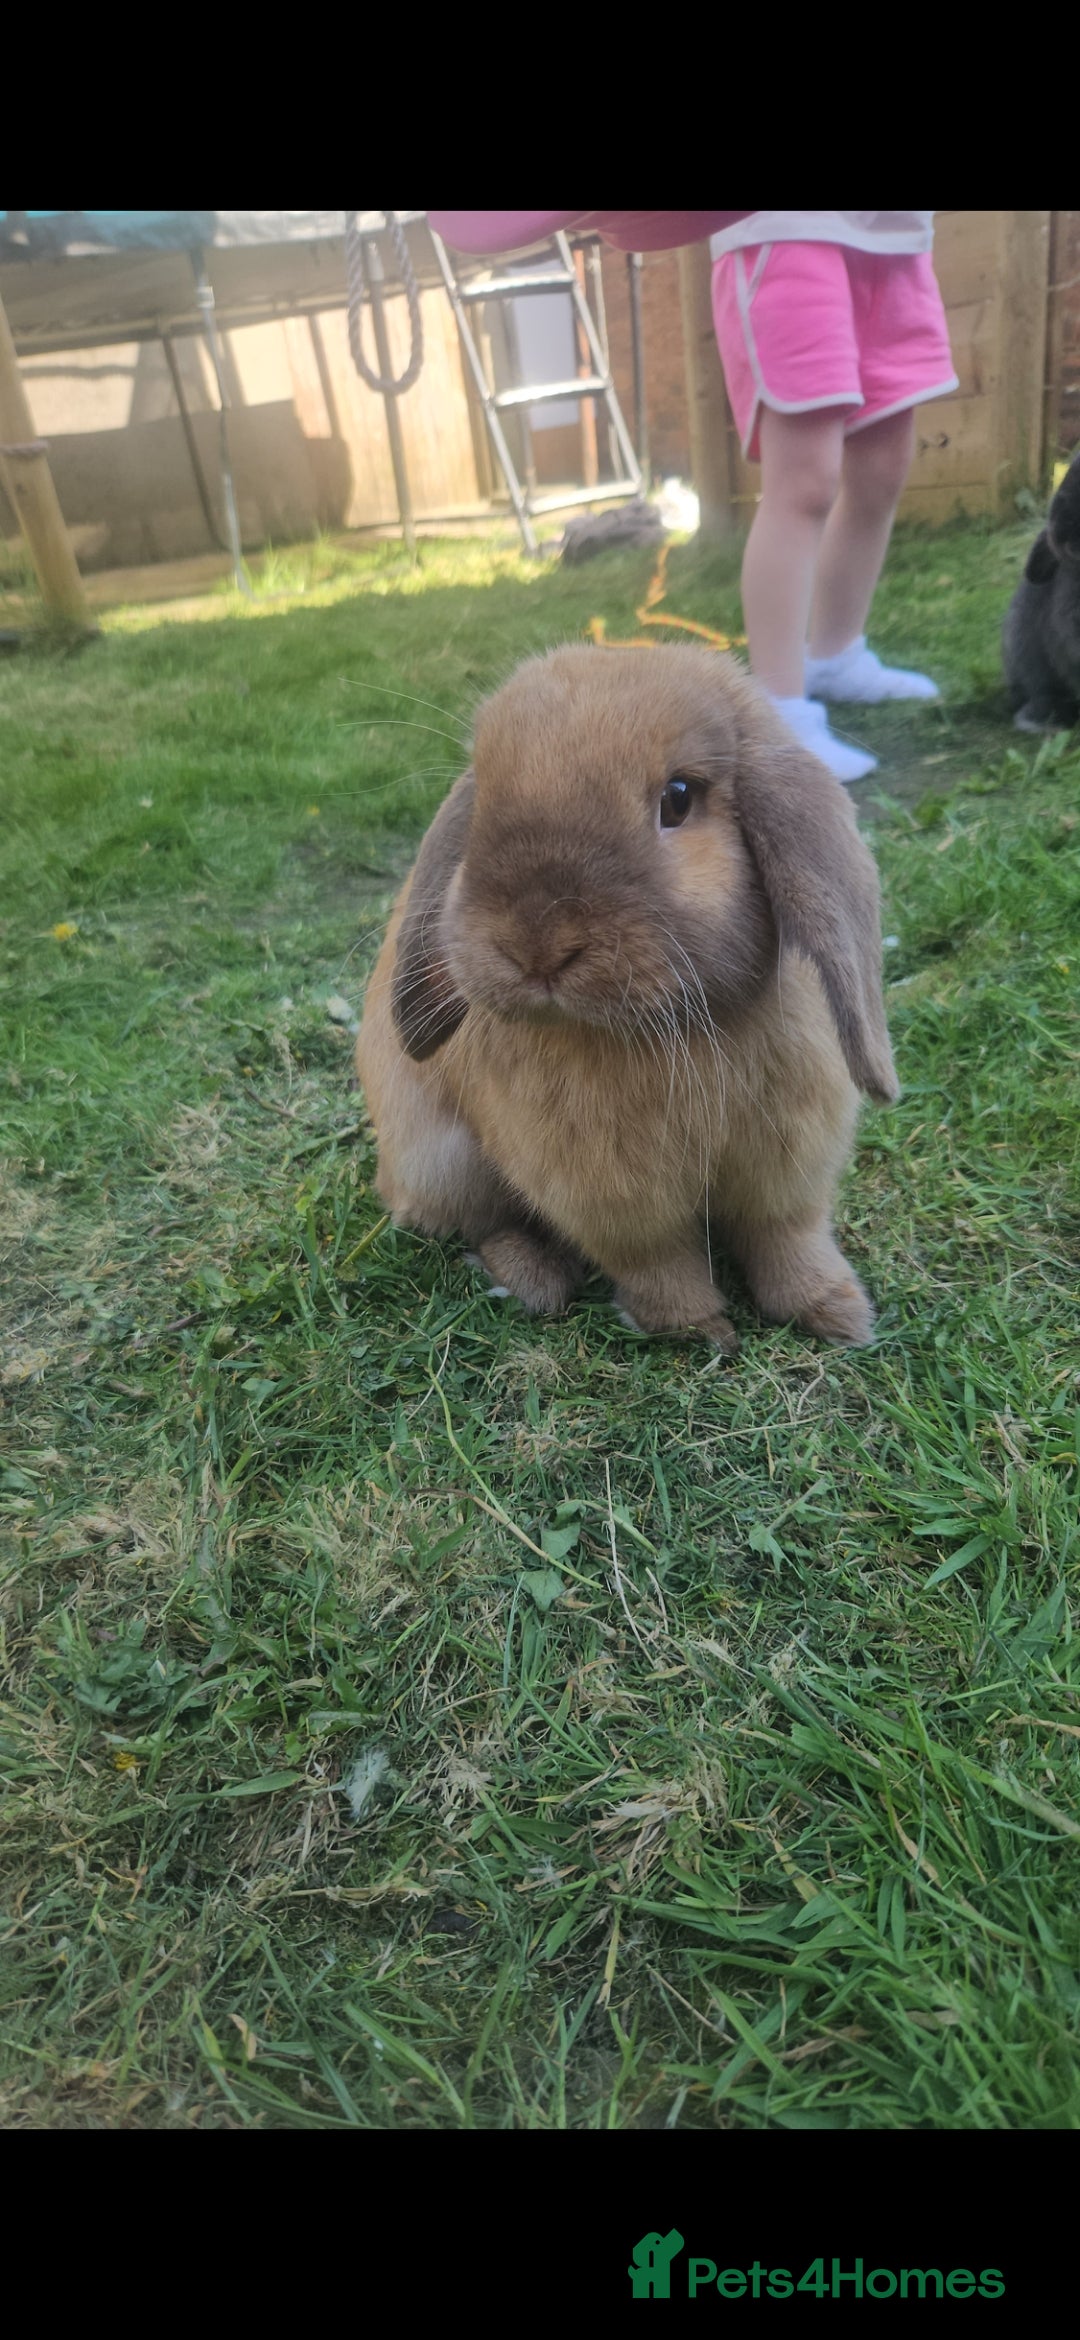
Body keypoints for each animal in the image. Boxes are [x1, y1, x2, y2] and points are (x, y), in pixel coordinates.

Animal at [354, 644, 899, 1352]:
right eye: (480, 809)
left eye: (678, 798)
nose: (537, 946)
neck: (674, 1030)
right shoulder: (610, 1199)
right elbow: (658, 1261)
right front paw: (699, 1330)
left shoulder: (787, 1169)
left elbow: (788, 1238)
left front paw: (836, 1314)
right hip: (444, 1163)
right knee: (483, 1224)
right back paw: (533, 1279)